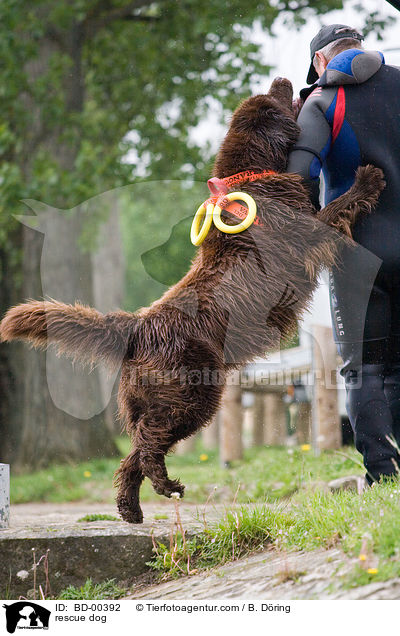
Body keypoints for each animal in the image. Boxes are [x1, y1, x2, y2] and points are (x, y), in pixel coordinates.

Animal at [1, 78, 386, 520]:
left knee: (131, 455)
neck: (252, 176)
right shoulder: (310, 234)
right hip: (193, 394)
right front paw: (368, 179)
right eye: (272, 101)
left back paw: (132, 507)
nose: (284, 81)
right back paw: (165, 485)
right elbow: (339, 206)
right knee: (147, 443)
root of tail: (139, 326)